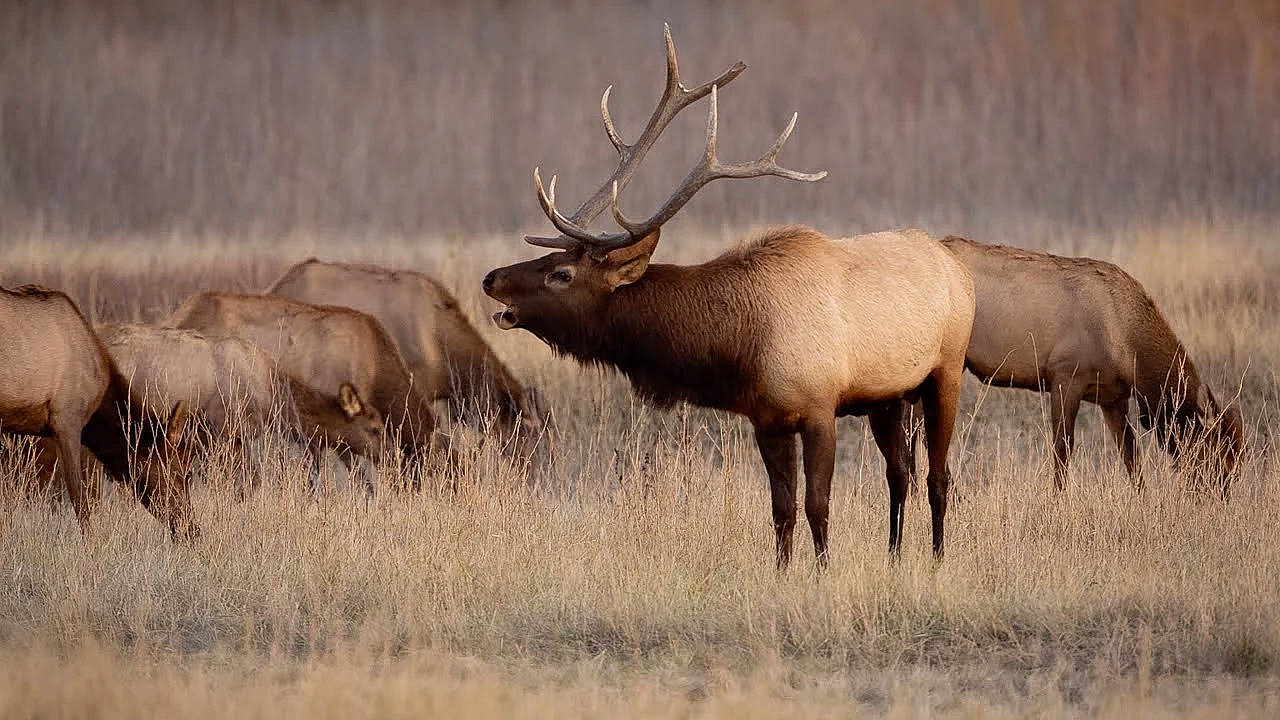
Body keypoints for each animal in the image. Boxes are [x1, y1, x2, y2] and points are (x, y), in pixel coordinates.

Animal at [480, 26, 975, 567]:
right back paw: (894, 557)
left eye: (562, 274)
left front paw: (823, 573)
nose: (491, 278)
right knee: (899, 475)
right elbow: (781, 511)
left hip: (946, 371)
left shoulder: (820, 406)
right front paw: (783, 573)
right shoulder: (767, 419)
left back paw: (937, 558)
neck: (742, 343)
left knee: (938, 476)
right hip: (889, 397)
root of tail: (956, 265)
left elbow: (817, 505)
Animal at [916, 235, 1245, 493]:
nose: (1216, 497)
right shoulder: (1065, 376)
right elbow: (1062, 450)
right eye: (1216, 456)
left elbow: (1130, 455)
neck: (1129, 351)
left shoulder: (1113, 398)